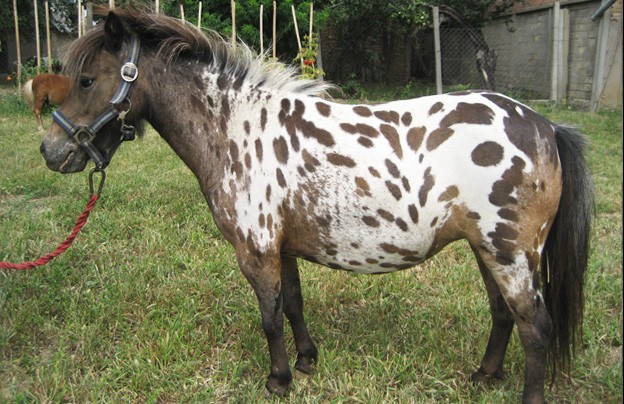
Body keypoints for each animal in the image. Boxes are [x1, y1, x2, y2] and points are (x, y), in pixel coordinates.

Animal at [40, 9, 593, 403]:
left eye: (86, 80)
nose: (51, 151)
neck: (235, 129)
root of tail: (544, 125)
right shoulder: (281, 247)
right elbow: (293, 304)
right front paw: (307, 361)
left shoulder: (256, 250)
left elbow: (269, 316)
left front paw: (278, 380)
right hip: (488, 250)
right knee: (504, 315)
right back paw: (484, 375)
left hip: (510, 254)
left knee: (536, 327)